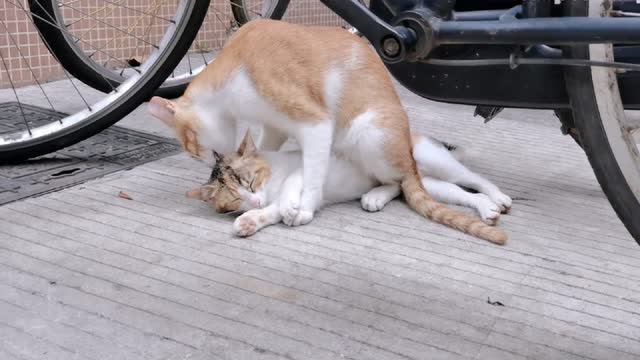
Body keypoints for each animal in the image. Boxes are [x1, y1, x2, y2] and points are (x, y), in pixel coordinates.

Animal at [148, 18, 512, 243]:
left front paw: (304, 208)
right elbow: (272, 155)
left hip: (374, 136)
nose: (212, 159)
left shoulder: (314, 122)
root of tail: (410, 160)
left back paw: (497, 196)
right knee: (432, 189)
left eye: (199, 149)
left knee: (461, 178)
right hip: (423, 177)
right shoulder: (274, 125)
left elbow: (311, 174)